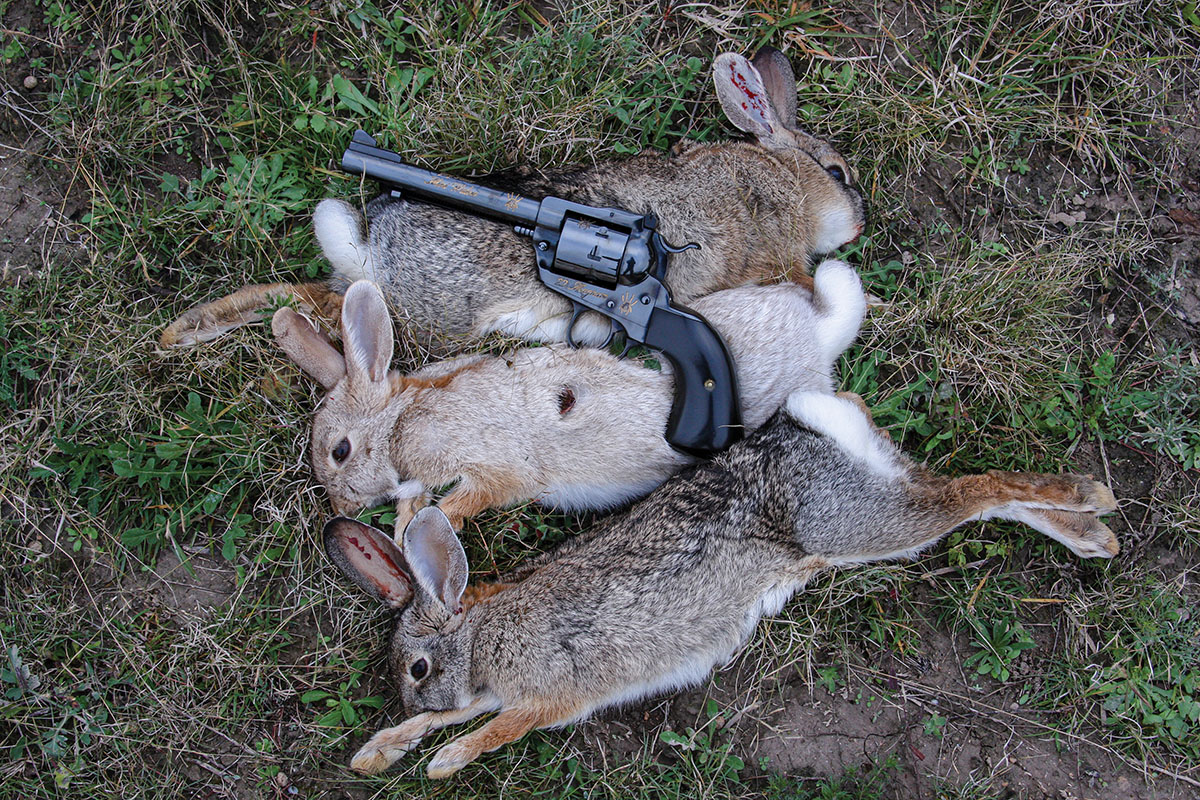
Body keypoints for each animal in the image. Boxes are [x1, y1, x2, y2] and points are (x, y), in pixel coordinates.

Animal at [160, 47, 865, 350]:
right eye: (838, 171)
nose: (859, 224)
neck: (782, 176)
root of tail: (369, 244)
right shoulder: (774, 254)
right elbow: (800, 279)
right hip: (431, 315)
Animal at [272, 257, 867, 530]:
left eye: (339, 451)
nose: (341, 508)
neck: (400, 423)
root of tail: (818, 333)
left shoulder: (492, 466)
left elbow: (471, 497)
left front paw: (428, 527)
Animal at [323, 389, 1120, 778]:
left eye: (417, 667)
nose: (415, 692)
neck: (482, 632)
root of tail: (814, 427)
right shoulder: (487, 689)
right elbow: (447, 720)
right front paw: (380, 750)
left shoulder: (553, 689)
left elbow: (495, 729)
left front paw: (443, 764)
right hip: (874, 519)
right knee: (968, 496)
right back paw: (1094, 532)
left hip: (856, 527)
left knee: (979, 490)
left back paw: (1091, 497)